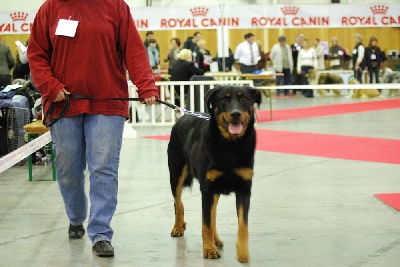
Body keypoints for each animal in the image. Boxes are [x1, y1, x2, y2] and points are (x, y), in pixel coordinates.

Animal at [167, 86, 260, 264]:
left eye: (244, 99)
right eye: (224, 99)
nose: (236, 113)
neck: (230, 145)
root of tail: (184, 116)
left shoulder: (244, 189)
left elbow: (242, 224)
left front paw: (243, 252)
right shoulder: (208, 189)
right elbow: (206, 223)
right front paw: (209, 250)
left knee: (212, 213)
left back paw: (215, 239)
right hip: (176, 175)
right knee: (178, 201)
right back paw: (178, 226)